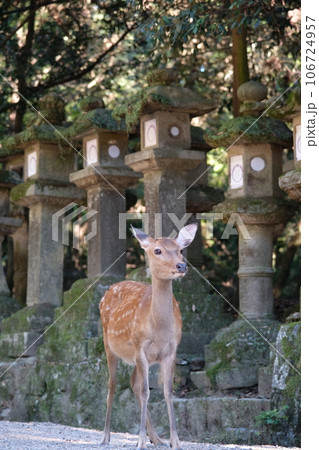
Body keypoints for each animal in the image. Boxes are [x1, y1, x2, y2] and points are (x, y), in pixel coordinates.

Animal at [100, 223, 199, 450]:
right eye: (157, 250)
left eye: (180, 250)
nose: (181, 266)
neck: (159, 330)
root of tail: (108, 290)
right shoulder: (140, 347)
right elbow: (147, 392)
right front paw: (140, 442)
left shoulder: (172, 351)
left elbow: (168, 392)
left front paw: (175, 442)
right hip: (109, 344)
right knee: (112, 385)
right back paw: (105, 437)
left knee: (133, 383)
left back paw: (157, 438)